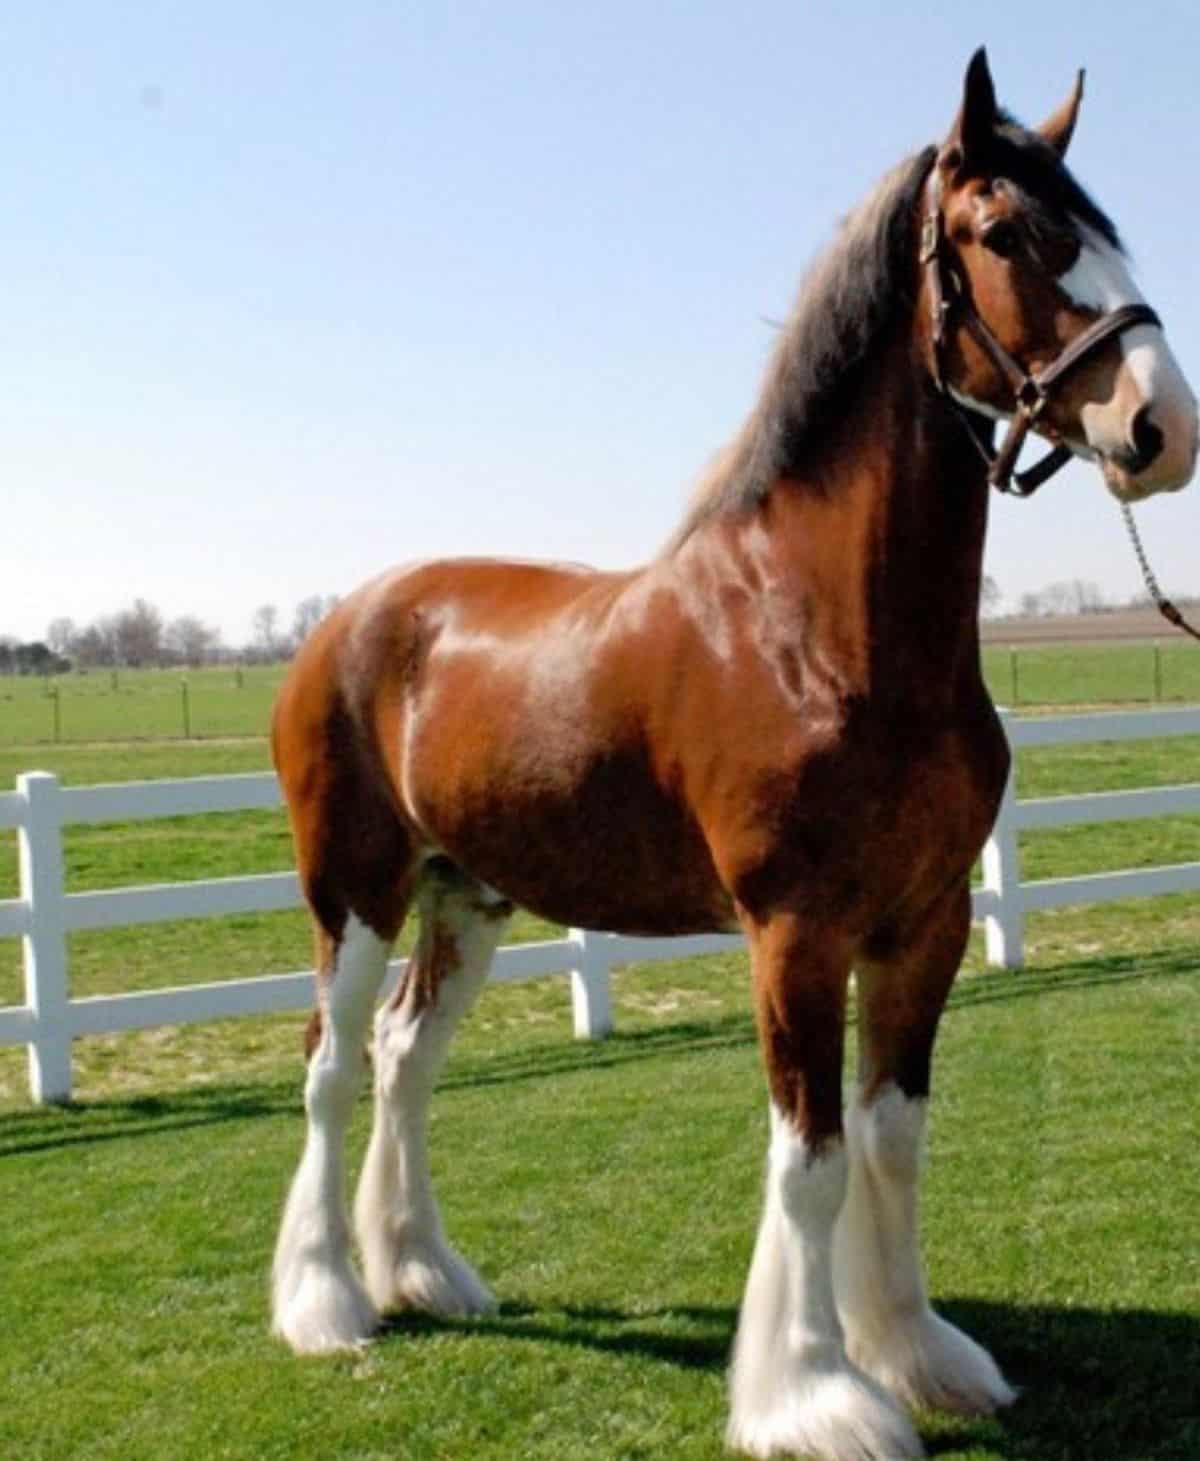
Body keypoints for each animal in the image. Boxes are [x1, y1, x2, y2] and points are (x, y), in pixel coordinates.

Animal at [267, 51, 1192, 1461]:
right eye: (1007, 234)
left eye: (1108, 232)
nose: (1163, 427)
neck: (821, 631)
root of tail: (348, 622)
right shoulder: (795, 934)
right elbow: (809, 1161)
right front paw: (814, 1394)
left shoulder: (921, 926)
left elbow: (890, 1139)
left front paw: (917, 1354)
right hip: (355, 892)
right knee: (328, 1070)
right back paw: (328, 1305)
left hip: (467, 896)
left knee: (404, 1058)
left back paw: (425, 1270)